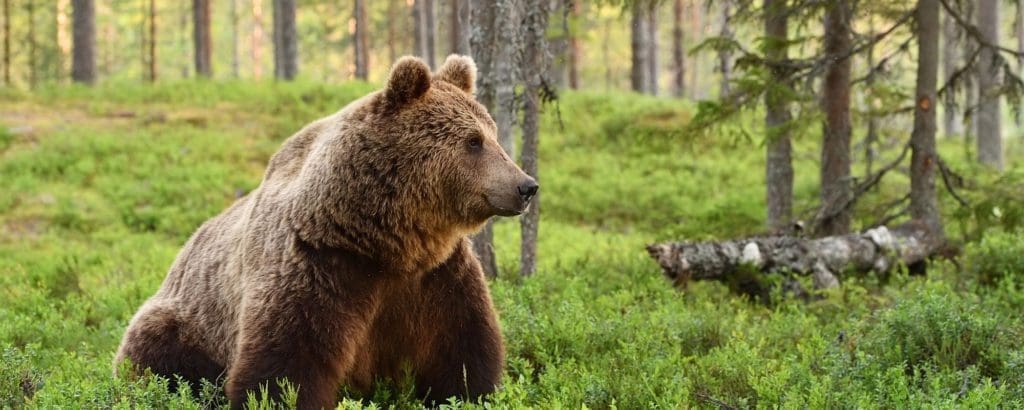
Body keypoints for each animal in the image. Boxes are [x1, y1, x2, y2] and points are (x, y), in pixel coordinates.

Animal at [114, 55, 536, 410]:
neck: (389, 242)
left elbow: (464, 349)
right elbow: (286, 363)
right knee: (157, 354)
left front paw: (472, 392)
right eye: (473, 141)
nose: (526, 186)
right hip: (186, 323)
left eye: (493, 134)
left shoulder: (437, 276)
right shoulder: (321, 265)